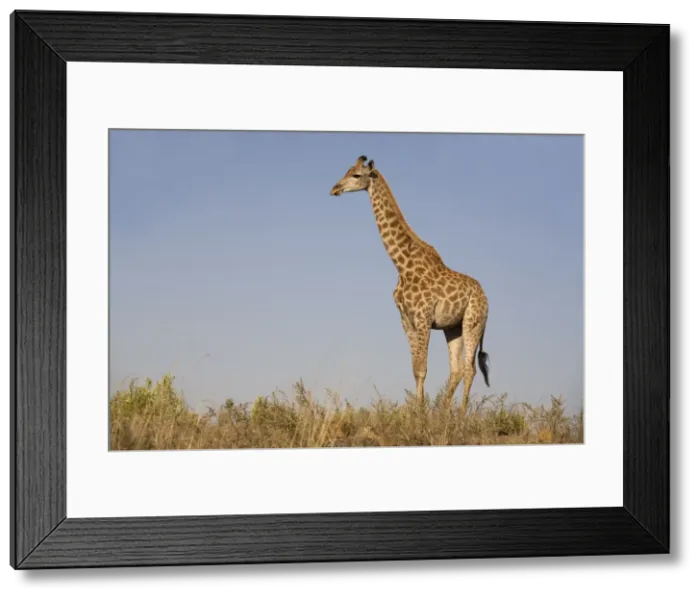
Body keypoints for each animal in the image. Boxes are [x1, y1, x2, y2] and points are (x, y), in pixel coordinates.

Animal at [330, 156, 490, 412]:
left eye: (356, 175)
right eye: (346, 171)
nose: (335, 189)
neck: (402, 265)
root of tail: (486, 298)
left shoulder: (423, 318)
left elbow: (422, 368)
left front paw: (420, 414)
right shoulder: (406, 320)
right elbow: (415, 369)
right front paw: (417, 412)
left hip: (473, 322)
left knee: (469, 369)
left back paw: (461, 415)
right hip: (453, 327)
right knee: (456, 369)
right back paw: (443, 413)